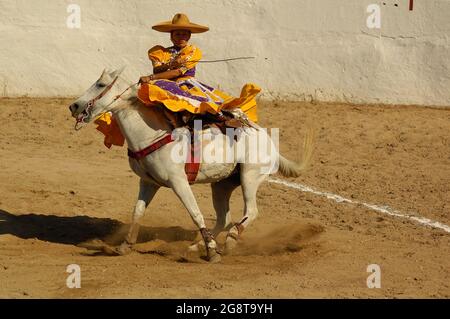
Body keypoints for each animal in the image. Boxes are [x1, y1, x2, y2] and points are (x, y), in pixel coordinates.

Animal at [68, 67, 312, 262]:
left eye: (100, 84)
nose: (74, 106)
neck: (151, 134)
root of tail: (268, 140)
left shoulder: (179, 181)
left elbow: (195, 213)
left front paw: (212, 253)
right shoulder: (148, 182)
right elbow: (137, 211)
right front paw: (124, 246)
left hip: (249, 177)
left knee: (250, 212)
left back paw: (229, 241)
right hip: (221, 185)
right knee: (224, 218)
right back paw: (197, 246)